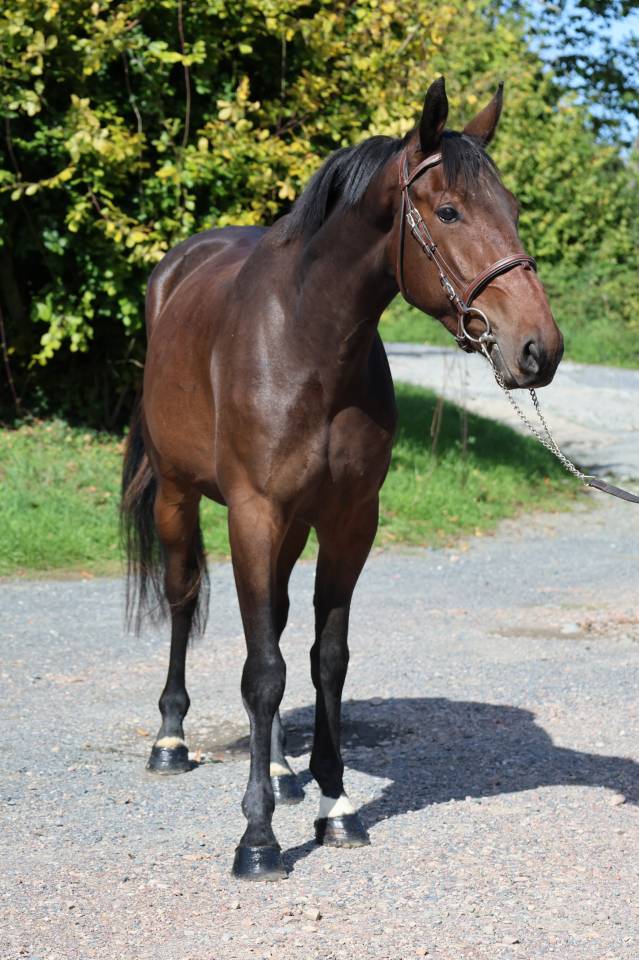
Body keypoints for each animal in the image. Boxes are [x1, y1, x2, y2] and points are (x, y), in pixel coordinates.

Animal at [121, 77, 564, 881]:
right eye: (449, 211)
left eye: (513, 210)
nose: (537, 349)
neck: (309, 342)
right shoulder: (253, 513)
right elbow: (262, 671)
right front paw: (257, 837)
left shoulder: (350, 519)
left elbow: (324, 659)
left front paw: (334, 802)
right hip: (178, 495)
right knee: (182, 598)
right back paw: (170, 739)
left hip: (294, 528)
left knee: (275, 620)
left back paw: (284, 772)